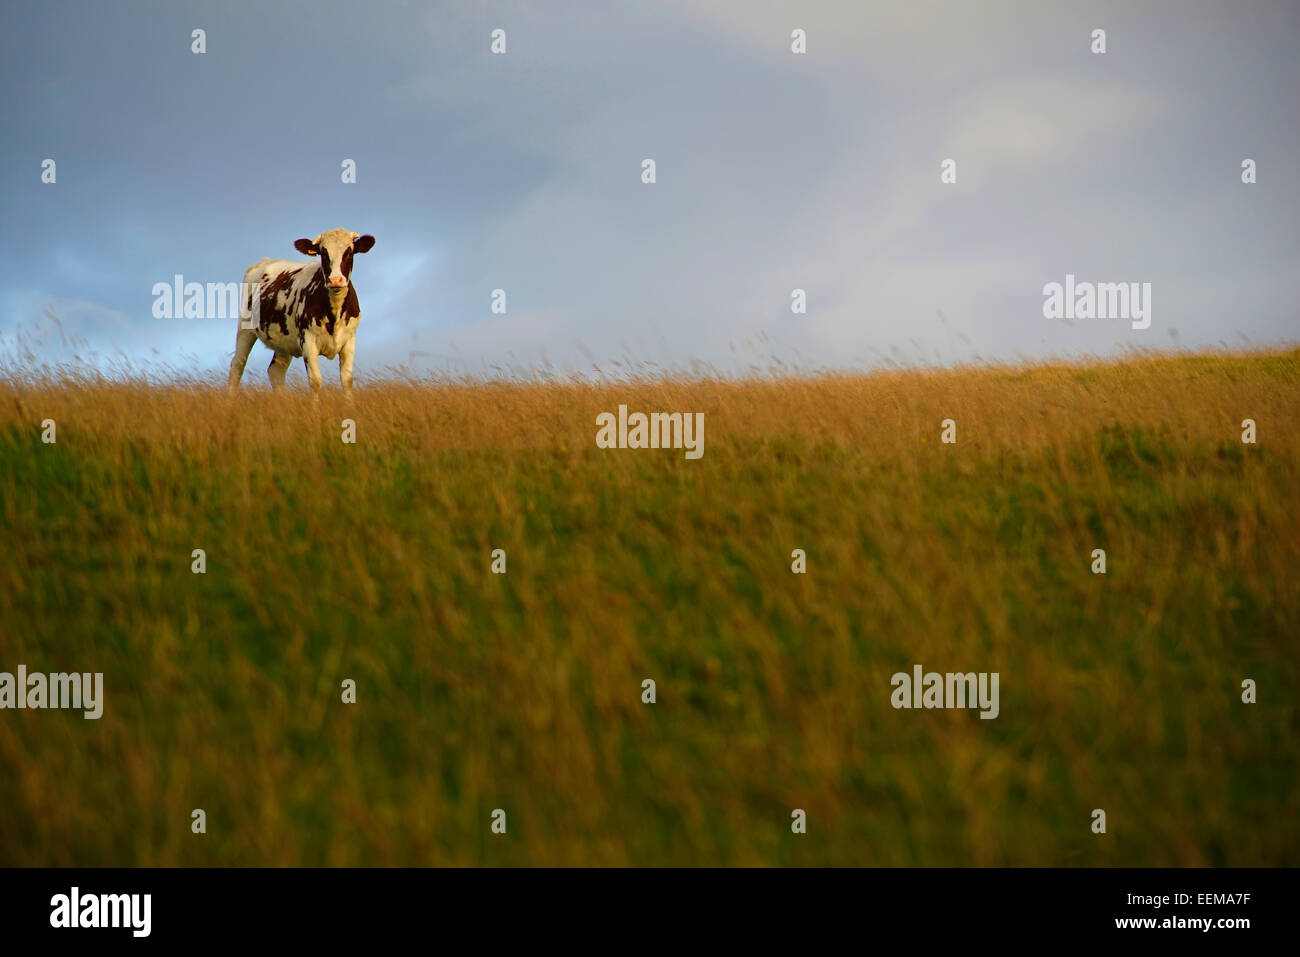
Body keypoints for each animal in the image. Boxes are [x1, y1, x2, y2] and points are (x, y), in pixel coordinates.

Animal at [228, 227, 377, 395]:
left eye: (349, 252)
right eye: (323, 253)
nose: (335, 280)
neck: (334, 313)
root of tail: (266, 261)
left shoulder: (350, 340)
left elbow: (347, 380)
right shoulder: (308, 341)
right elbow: (315, 381)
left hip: (283, 340)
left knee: (276, 371)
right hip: (245, 328)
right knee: (238, 365)